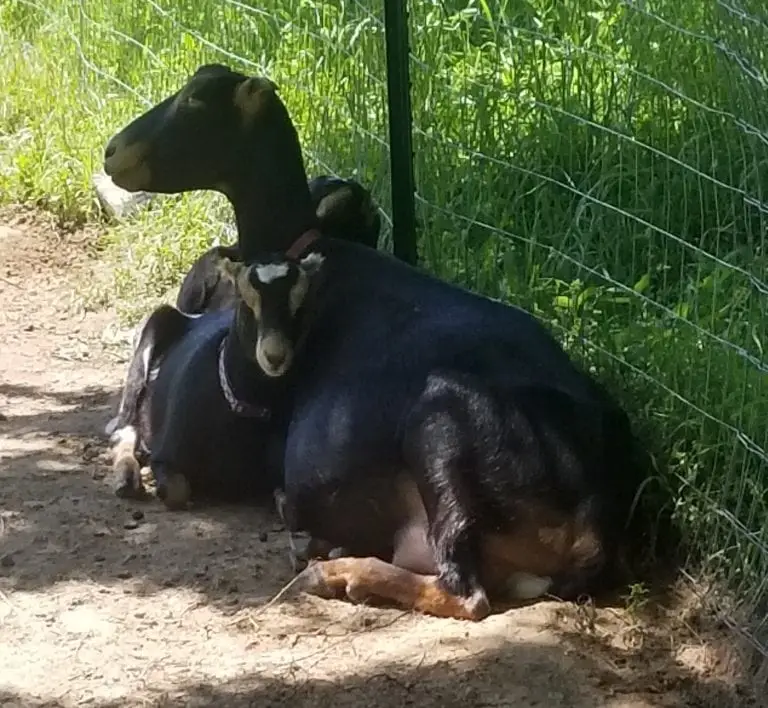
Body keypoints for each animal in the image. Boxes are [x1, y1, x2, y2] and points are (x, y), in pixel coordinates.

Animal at [104, 64, 646, 619]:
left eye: (195, 99)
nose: (111, 152)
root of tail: (600, 518)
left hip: (441, 427)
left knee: (465, 591)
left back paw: (336, 572)